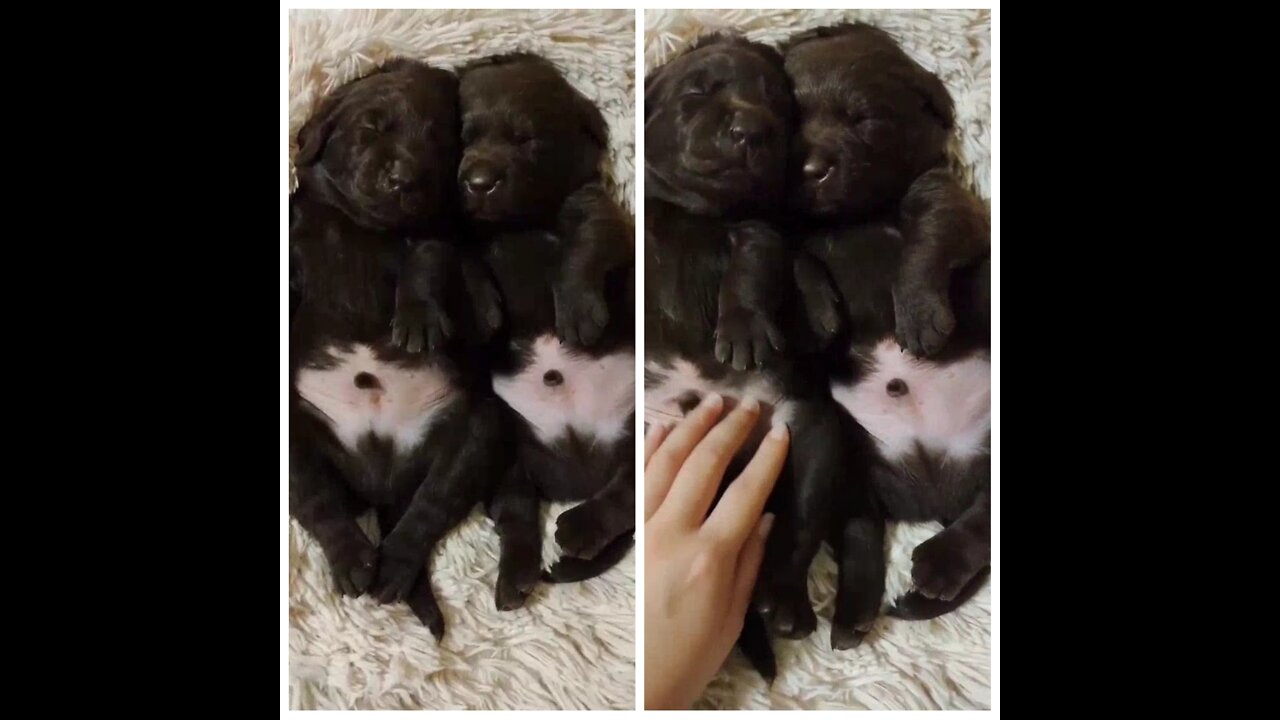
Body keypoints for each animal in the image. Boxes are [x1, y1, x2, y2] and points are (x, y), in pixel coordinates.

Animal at [288, 58, 517, 635]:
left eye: (439, 141)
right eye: (371, 127)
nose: (404, 180)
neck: (364, 227)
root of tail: (381, 485)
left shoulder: (436, 228)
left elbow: (427, 256)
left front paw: (417, 319)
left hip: (479, 427)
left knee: (429, 507)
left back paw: (390, 567)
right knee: (317, 497)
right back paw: (354, 561)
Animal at [460, 54, 640, 584]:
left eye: (527, 138)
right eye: (465, 137)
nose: (479, 181)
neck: (520, 222)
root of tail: (578, 478)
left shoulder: (599, 212)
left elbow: (584, 249)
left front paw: (578, 314)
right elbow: (462, 258)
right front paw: (482, 311)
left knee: (625, 492)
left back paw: (578, 530)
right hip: (509, 454)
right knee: (517, 512)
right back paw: (516, 576)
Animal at [783, 22, 993, 630]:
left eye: (864, 119)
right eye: (789, 117)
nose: (811, 169)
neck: (855, 217)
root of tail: (933, 496)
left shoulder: (948, 199)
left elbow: (927, 242)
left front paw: (919, 318)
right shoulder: (786, 228)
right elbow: (794, 256)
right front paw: (819, 314)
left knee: (980, 521)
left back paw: (936, 569)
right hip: (851, 460)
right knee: (859, 530)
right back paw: (858, 611)